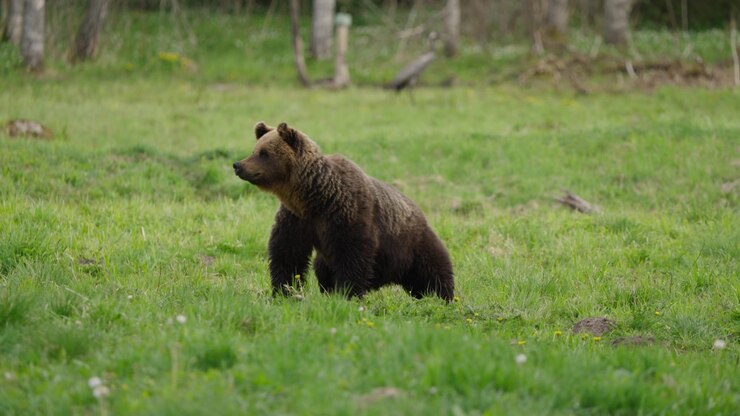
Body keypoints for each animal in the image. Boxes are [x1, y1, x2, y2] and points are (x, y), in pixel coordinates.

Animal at [233, 122, 454, 301]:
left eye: (264, 153)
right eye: (254, 149)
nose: (238, 165)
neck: (314, 198)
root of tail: (420, 211)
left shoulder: (347, 215)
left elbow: (352, 256)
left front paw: (348, 293)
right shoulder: (296, 219)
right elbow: (287, 252)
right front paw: (284, 290)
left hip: (412, 244)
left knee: (434, 272)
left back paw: (442, 297)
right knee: (322, 269)